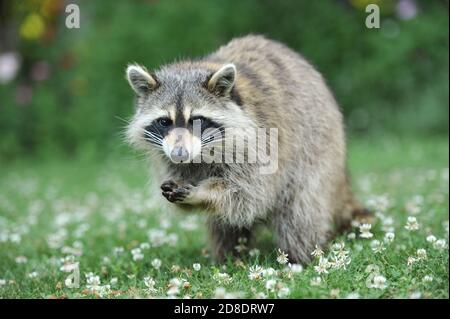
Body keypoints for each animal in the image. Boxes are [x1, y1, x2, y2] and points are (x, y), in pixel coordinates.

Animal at [124, 35, 370, 264]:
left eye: (196, 120)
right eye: (165, 121)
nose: (180, 154)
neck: (202, 153)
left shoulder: (259, 144)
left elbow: (247, 192)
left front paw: (200, 191)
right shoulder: (165, 156)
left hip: (315, 150)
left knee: (299, 211)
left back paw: (300, 256)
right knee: (223, 224)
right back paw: (228, 256)